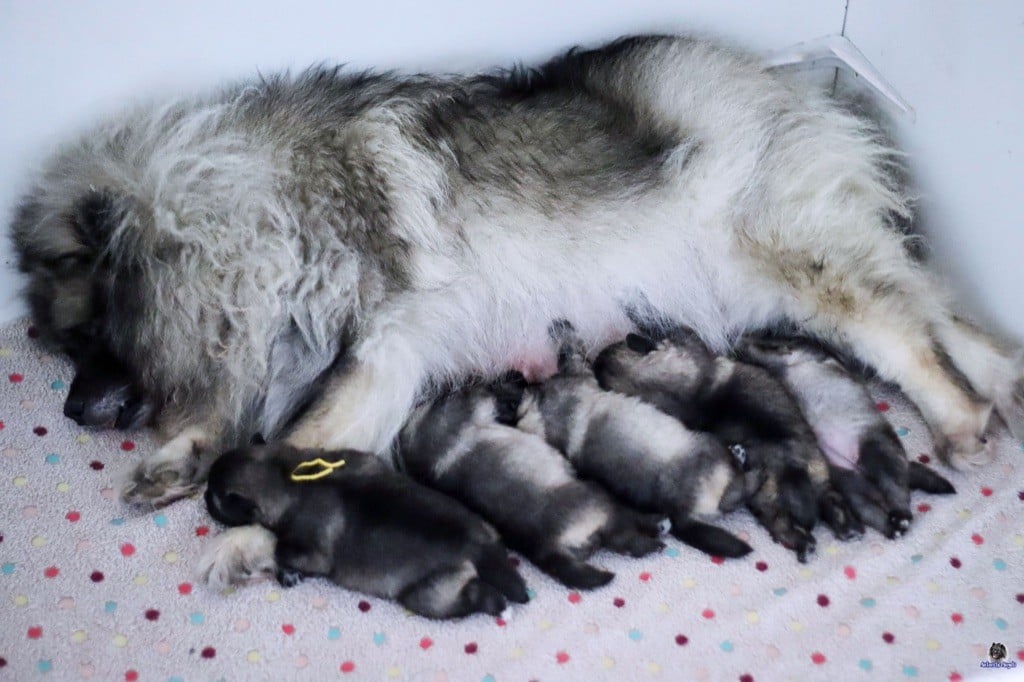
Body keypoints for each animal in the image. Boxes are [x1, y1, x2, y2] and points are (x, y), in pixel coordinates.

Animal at [204, 440, 532, 614]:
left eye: (214, 496)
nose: (204, 496)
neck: (286, 474)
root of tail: (478, 547)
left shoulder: (311, 551)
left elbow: (280, 548)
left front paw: (287, 572)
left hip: (431, 596)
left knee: (471, 598)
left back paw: (498, 605)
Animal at [593, 327, 864, 561]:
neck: (652, 383)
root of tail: (790, 464)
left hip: (806, 478)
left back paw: (843, 529)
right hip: (778, 492)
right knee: (788, 521)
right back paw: (813, 541)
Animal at [737, 333, 958, 536]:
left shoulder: (789, 354)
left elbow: (762, 352)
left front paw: (745, 345)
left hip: (879, 456)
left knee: (898, 493)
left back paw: (901, 516)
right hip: (853, 489)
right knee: (873, 513)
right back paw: (892, 528)